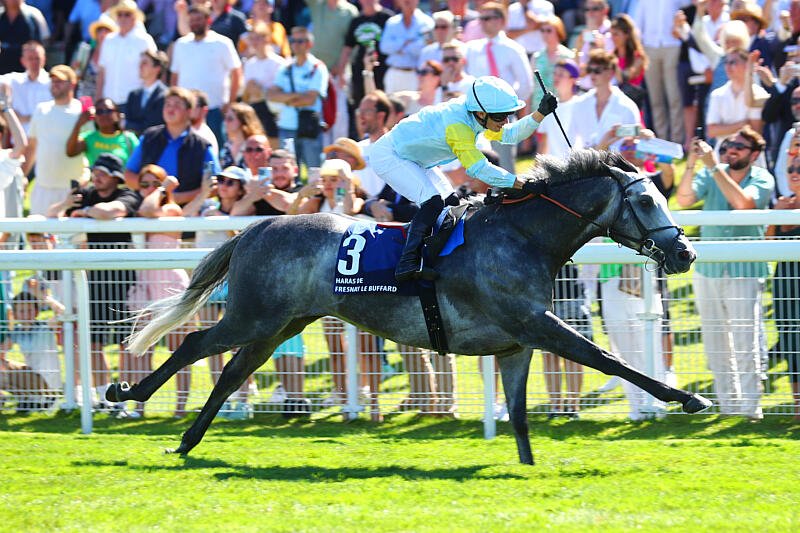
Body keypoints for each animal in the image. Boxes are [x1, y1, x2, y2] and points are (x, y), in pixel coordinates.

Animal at [107, 149, 711, 465]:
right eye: (645, 200)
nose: (684, 252)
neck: (522, 234)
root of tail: (255, 227)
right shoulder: (535, 322)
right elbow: (610, 360)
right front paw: (688, 398)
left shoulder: (518, 340)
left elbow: (518, 411)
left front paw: (527, 465)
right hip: (254, 315)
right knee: (194, 345)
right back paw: (127, 393)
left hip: (282, 322)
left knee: (232, 371)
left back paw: (187, 440)